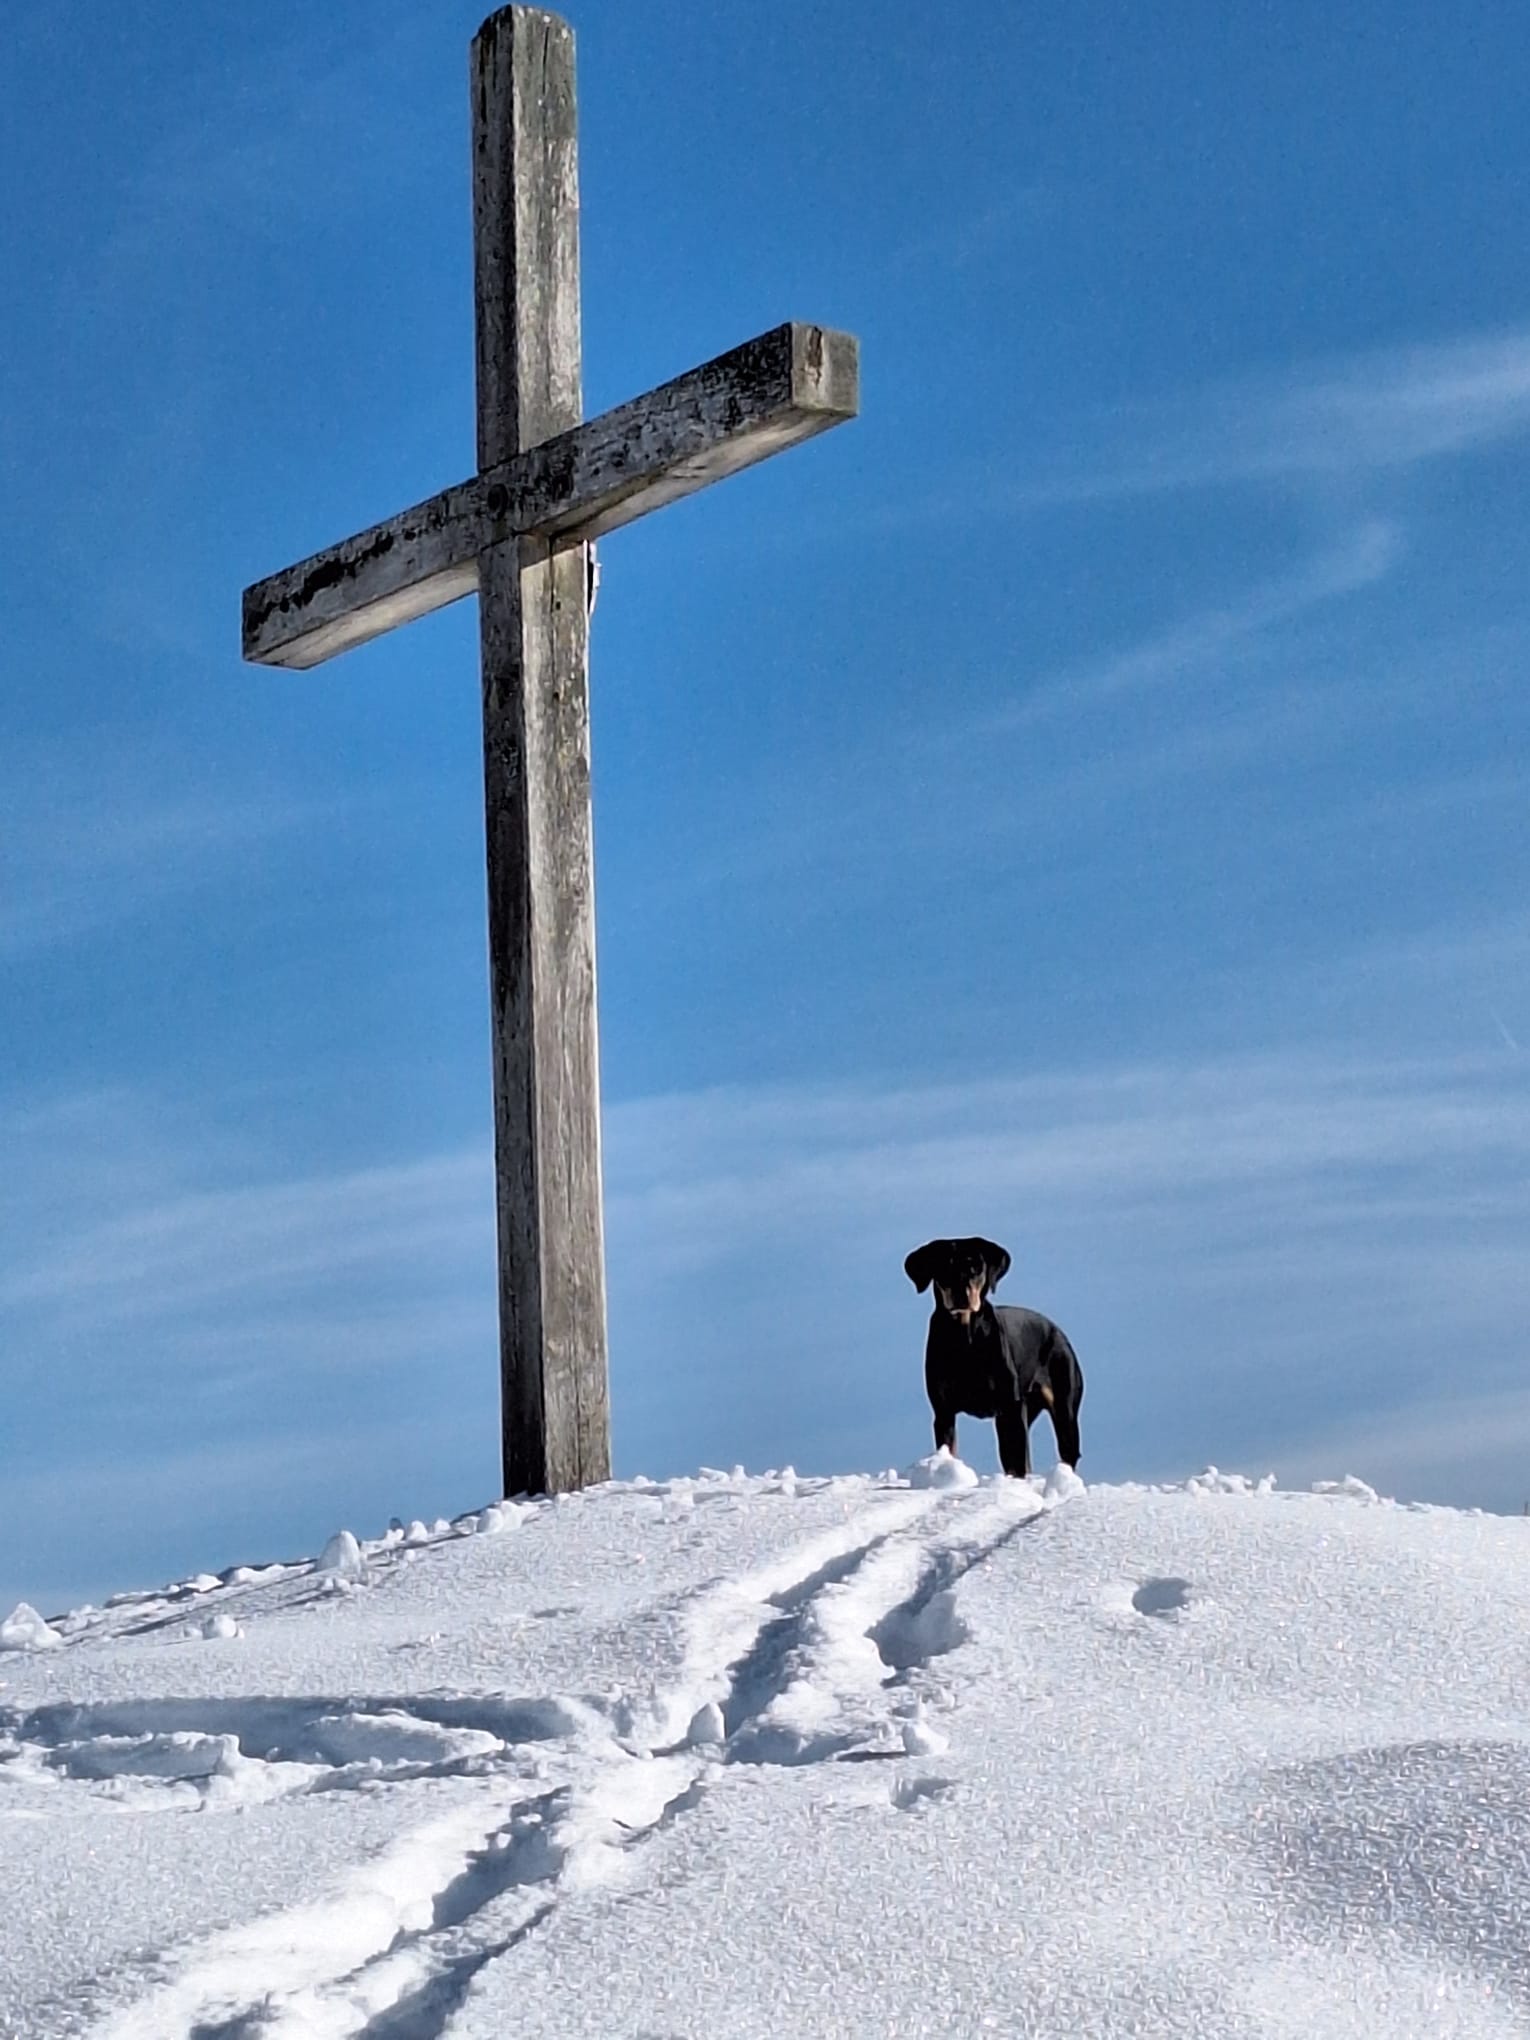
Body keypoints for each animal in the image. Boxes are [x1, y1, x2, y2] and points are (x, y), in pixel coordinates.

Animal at [905, 1232, 1085, 1476]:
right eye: (944, 1267)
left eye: (976, 1268)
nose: (962, 1295)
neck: (965, 1337)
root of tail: (1058, 1332)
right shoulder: (943, 1411)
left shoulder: (1010, 1407)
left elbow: (1018, 1462)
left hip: (1062, 1402)